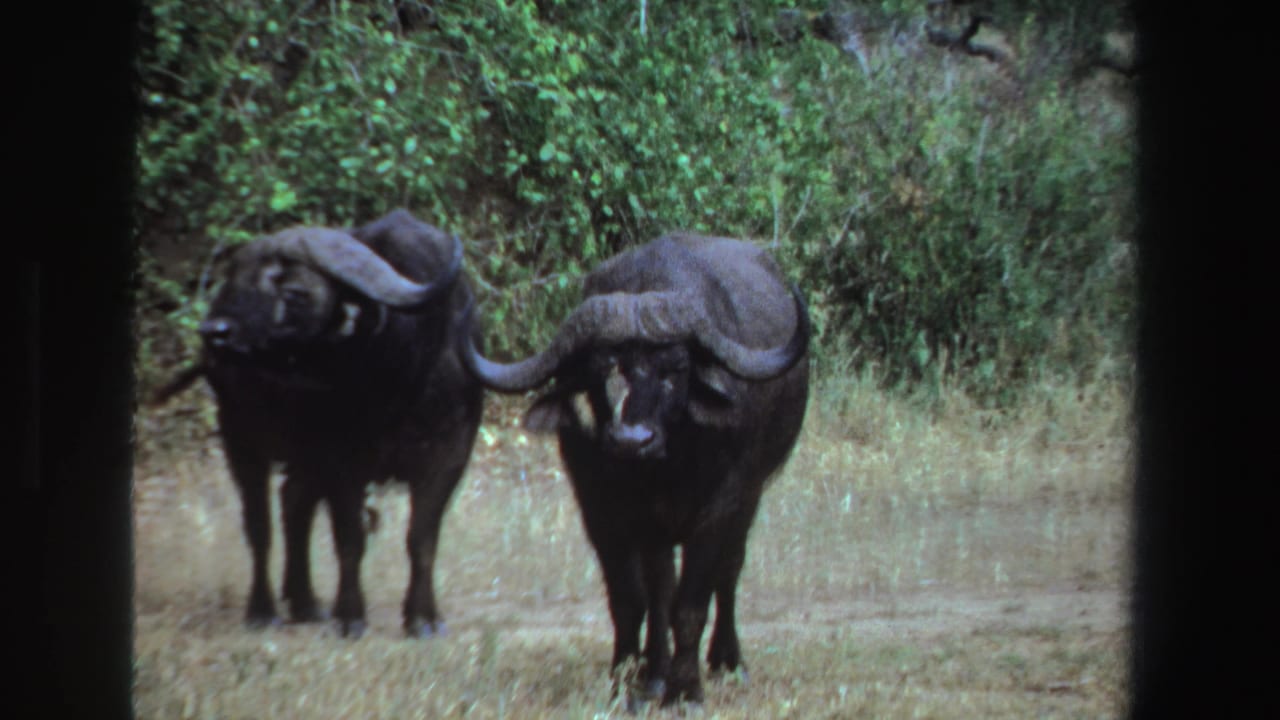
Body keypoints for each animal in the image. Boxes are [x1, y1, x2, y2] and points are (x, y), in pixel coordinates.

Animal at [155, 209, 482, 638]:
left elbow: (422, 539)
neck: (399, 375)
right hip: (240, 438)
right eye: (234, 281)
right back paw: (263, 609)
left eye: (294, 291)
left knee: (294, 502)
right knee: (260, 525)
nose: (214, 332)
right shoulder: (341, 460)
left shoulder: (449, 457)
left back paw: (305, 601)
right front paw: (351, 616)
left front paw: (423, 618)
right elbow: (350, 539)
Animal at [458, 233, 810, 704]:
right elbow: (632, 601)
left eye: (676, 367)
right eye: (598, 368)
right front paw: (626, 681)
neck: (662, 470)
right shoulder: (602, 512)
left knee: (729, 570)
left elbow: (691, 602)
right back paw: (654, 673)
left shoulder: (723, 505)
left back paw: (727, 661)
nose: (631, 440)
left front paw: (686, 691)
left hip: (748, 500)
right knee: (660, 589)